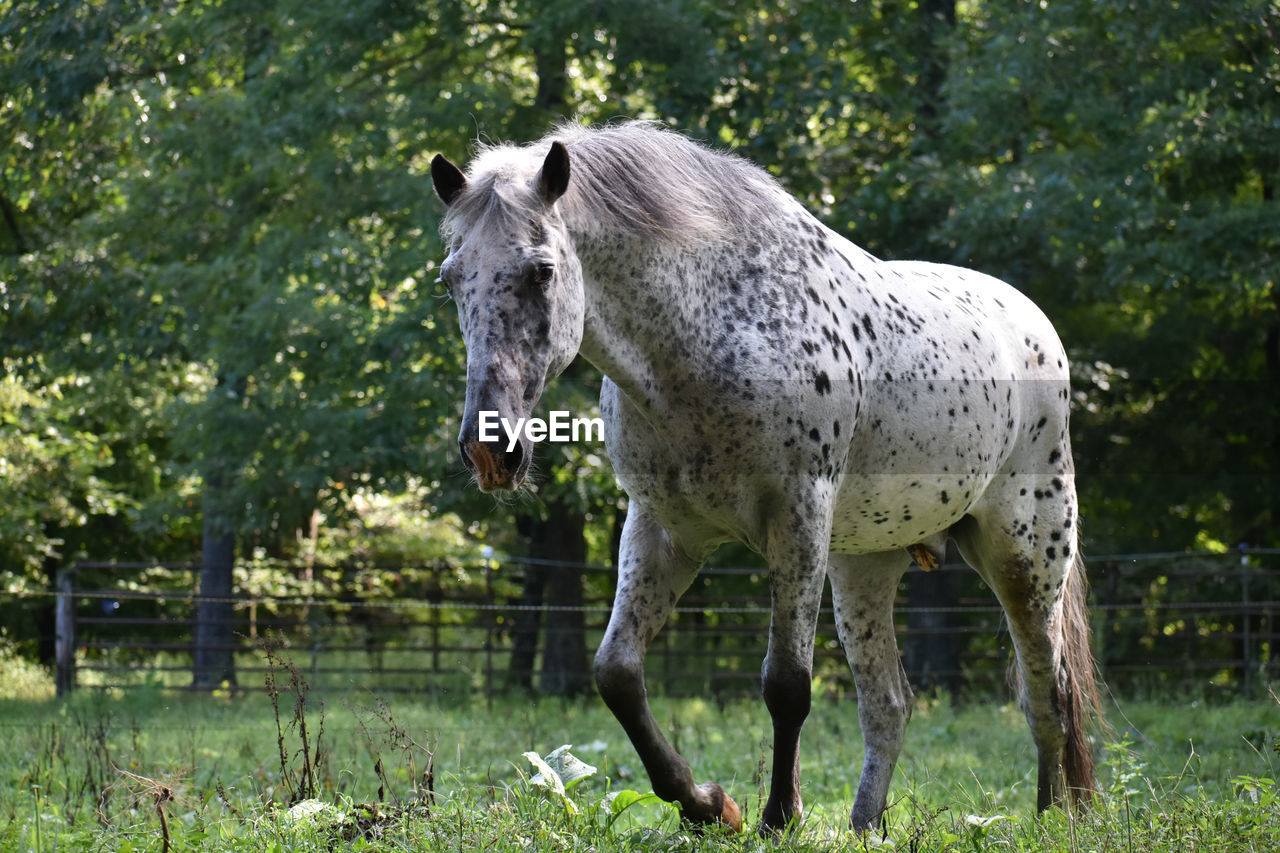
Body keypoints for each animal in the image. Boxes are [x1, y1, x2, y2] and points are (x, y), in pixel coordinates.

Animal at [430, 121, 1100, 829]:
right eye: (450, 281)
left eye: (542, 271)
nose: (489, 450)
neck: (707, 337)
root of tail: (1037, 330)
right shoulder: (662, 529)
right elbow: (617, 673)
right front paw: (707, 803)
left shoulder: (798, 519)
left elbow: (786, 685)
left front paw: (780, 815)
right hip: (865, 567)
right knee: (889, 705)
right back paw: (866, 827)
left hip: (1024, 560)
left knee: (1047, 697)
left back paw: (1054, 818)